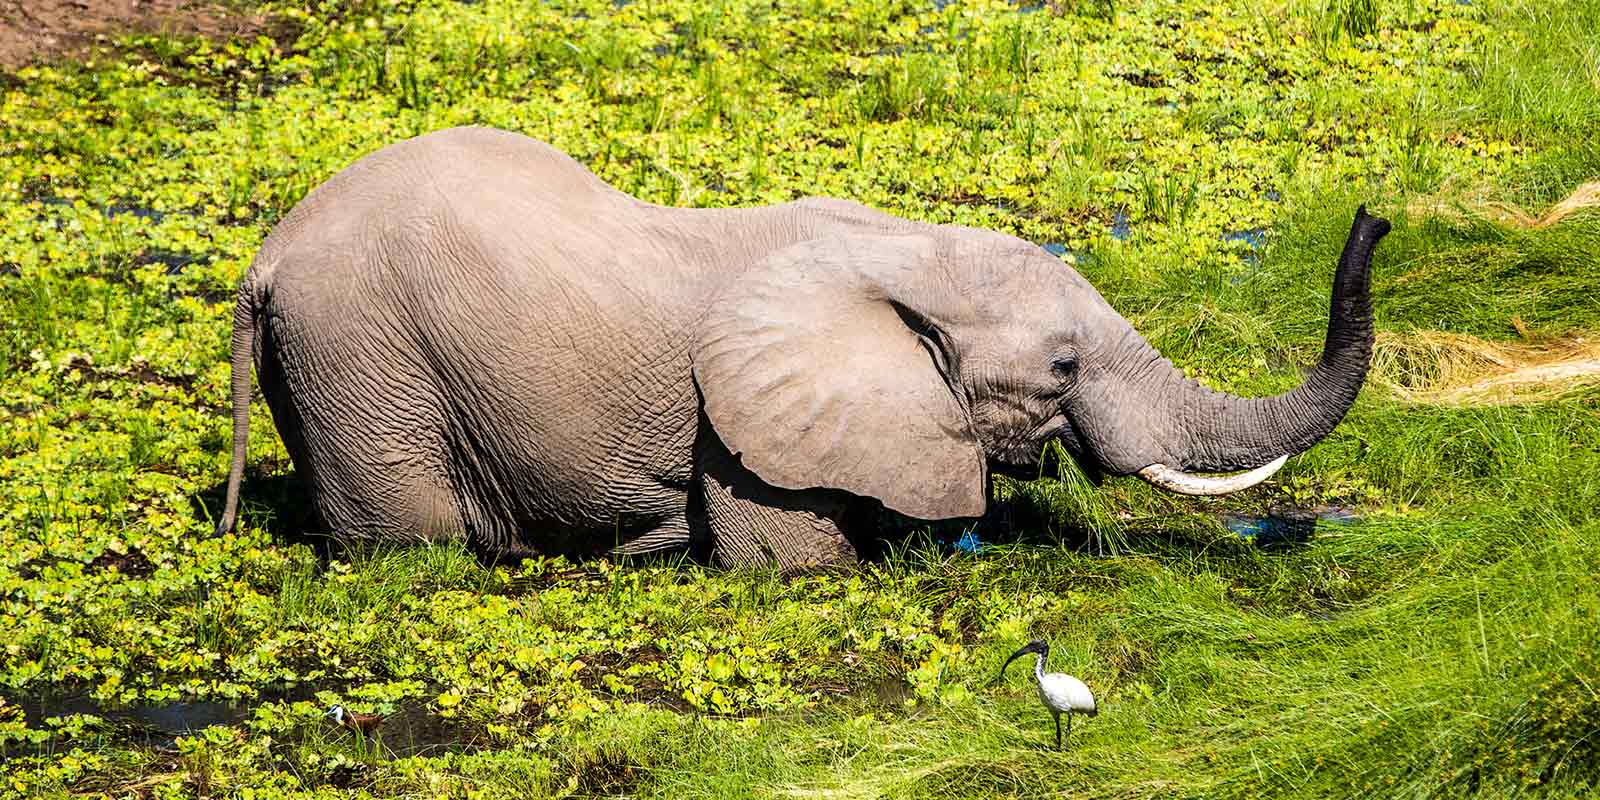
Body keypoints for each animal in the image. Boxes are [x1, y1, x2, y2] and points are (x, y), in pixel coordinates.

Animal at [215, 126, 1390, 568]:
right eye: (1062, 369)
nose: (1374, 217)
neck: (902, 247)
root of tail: (265, 256)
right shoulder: (738, 439)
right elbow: (797, 565)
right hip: (365, 362)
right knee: (409, 542)